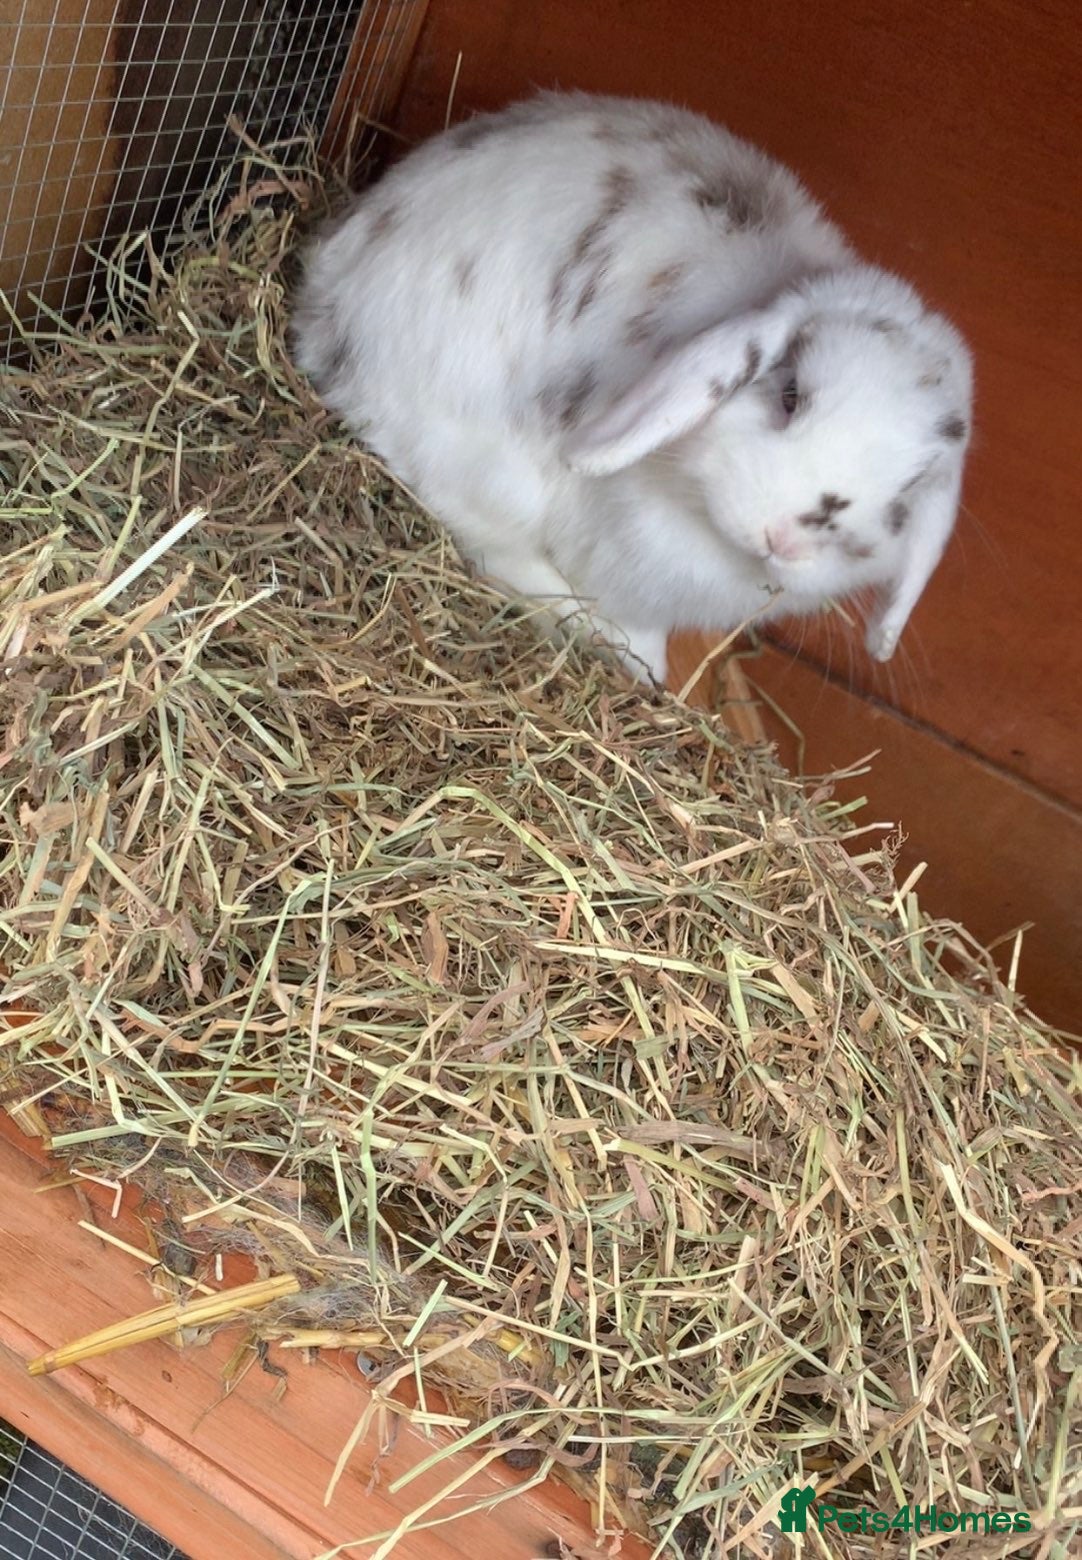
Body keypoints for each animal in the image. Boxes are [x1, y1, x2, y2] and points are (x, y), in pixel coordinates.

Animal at [292, 91, 973, 684]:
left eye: (907, 495)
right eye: (790, 395)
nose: (786, 536)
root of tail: (330, 293)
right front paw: (643, 658)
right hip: (482, 463)